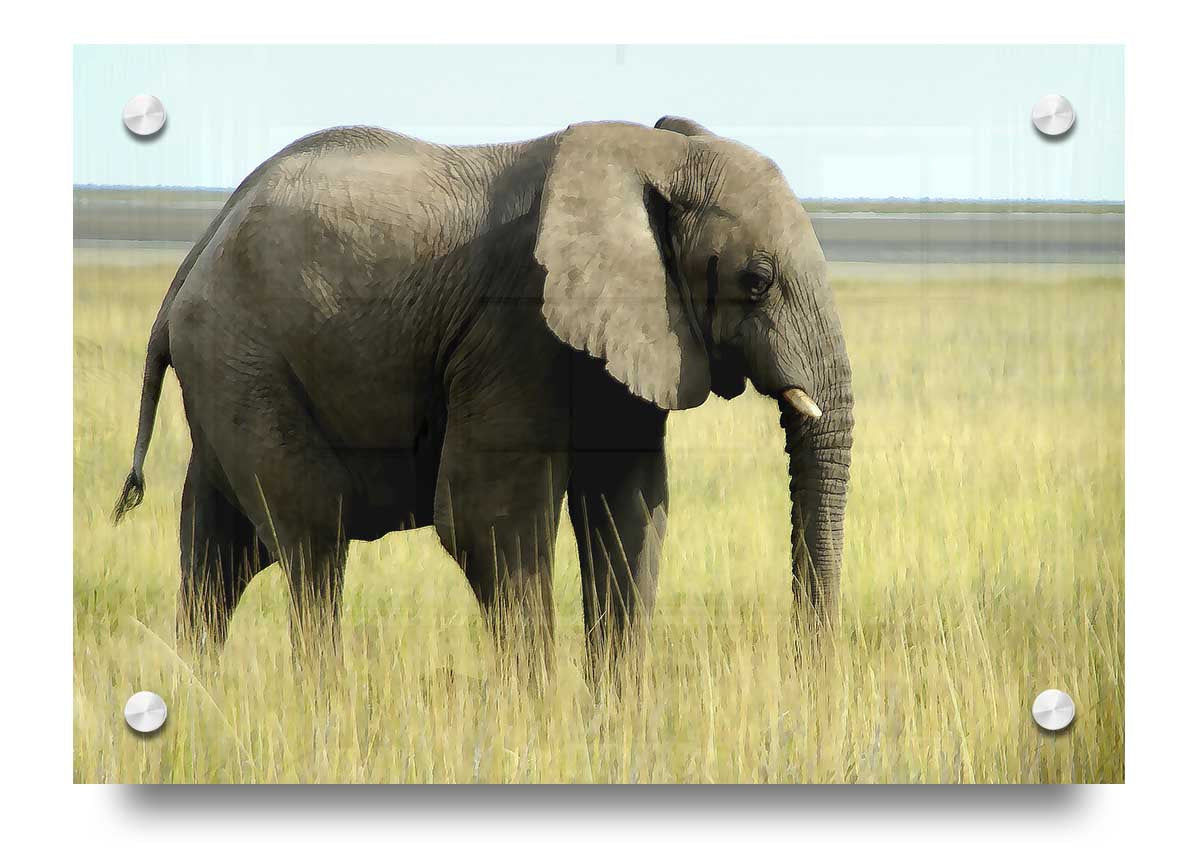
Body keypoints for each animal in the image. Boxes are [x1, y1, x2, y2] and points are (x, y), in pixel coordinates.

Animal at [112, 112, 854, 676]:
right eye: (756, 280)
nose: (806, 675)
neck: (651, 153)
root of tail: (191, 261)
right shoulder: (514, 326)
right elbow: (491, 521)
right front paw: (542, 722)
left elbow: (630, 509)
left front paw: (614, 720)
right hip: (245, 361)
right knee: (312, 541)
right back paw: (320, 702)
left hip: (229, 374)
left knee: (217, 553)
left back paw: (199, 695)